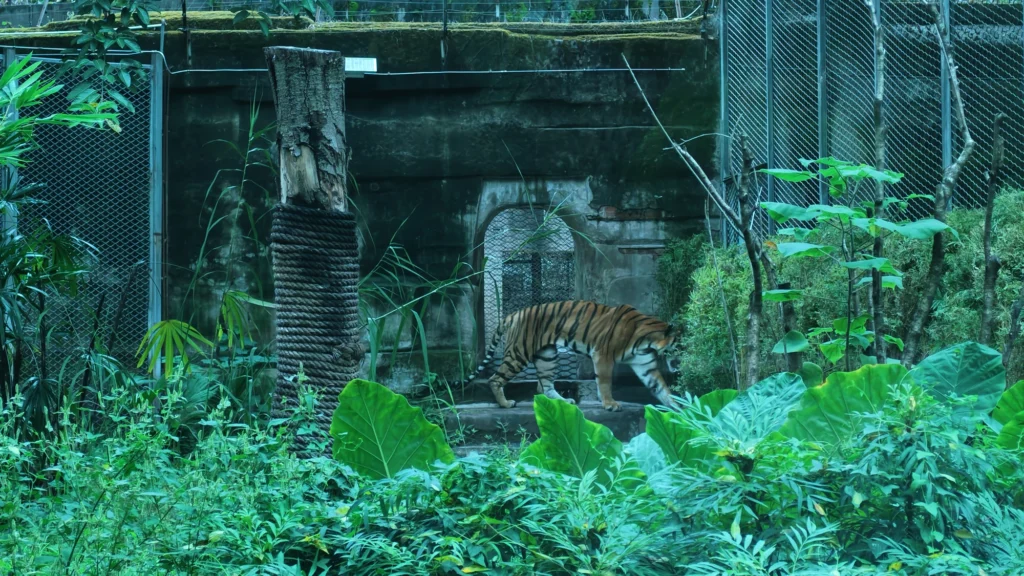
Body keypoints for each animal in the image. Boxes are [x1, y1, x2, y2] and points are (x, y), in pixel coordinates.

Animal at [458, 300, 678, 412]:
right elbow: (605, 382)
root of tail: (515, 314)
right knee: (495, 379)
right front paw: (610, 403)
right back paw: (505, 404)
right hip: (518, 354)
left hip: (547, 356)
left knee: (544, 387)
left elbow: (661, 388)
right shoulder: (603, 355)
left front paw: (679, 405)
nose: (678, 364)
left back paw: (564, 402)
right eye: (678, 347)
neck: (646, 343)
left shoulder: (646, 366)